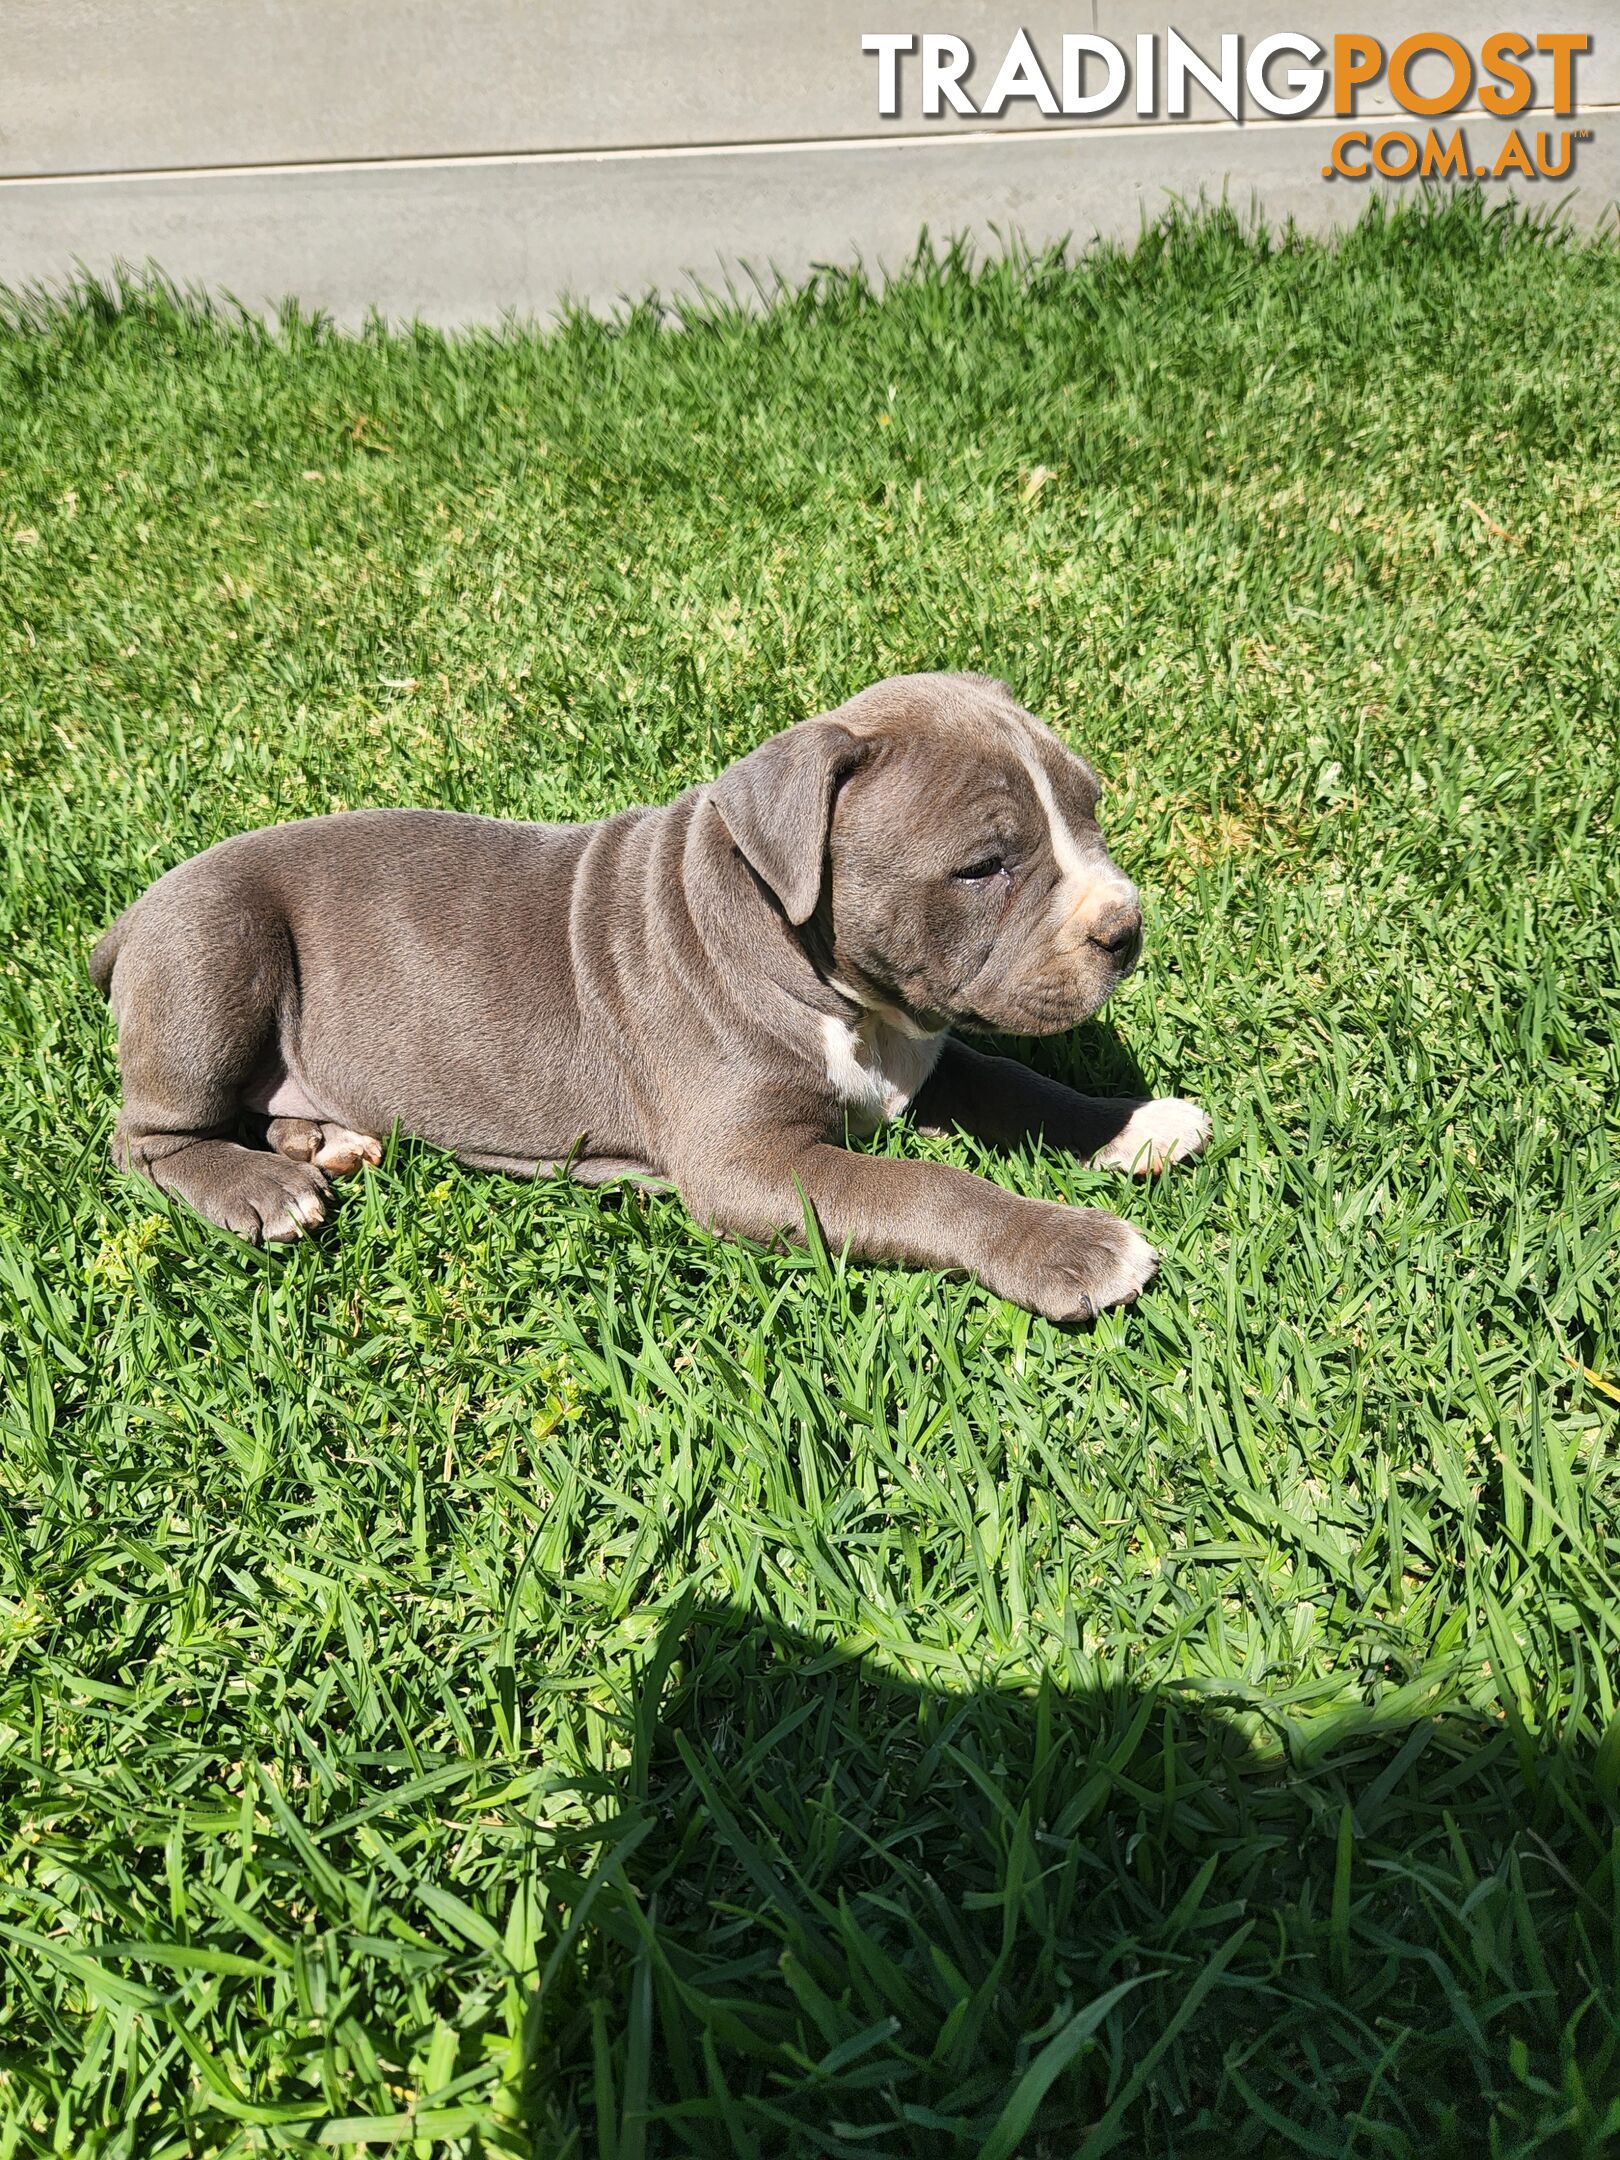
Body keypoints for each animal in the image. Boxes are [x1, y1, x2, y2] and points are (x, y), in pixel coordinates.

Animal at [88, 669, 1209, 1313]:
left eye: (1091, 811)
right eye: (983, 867)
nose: (1126, 929)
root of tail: (133, 916)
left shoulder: (927, 1057)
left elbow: (1015, 1083)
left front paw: (1135, 1123)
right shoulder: (752, 1164)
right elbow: (921, 1186)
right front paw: (1073, 1247)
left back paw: (323, 1140)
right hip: (212, 953)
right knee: (145, 1137)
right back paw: (263, 1189)